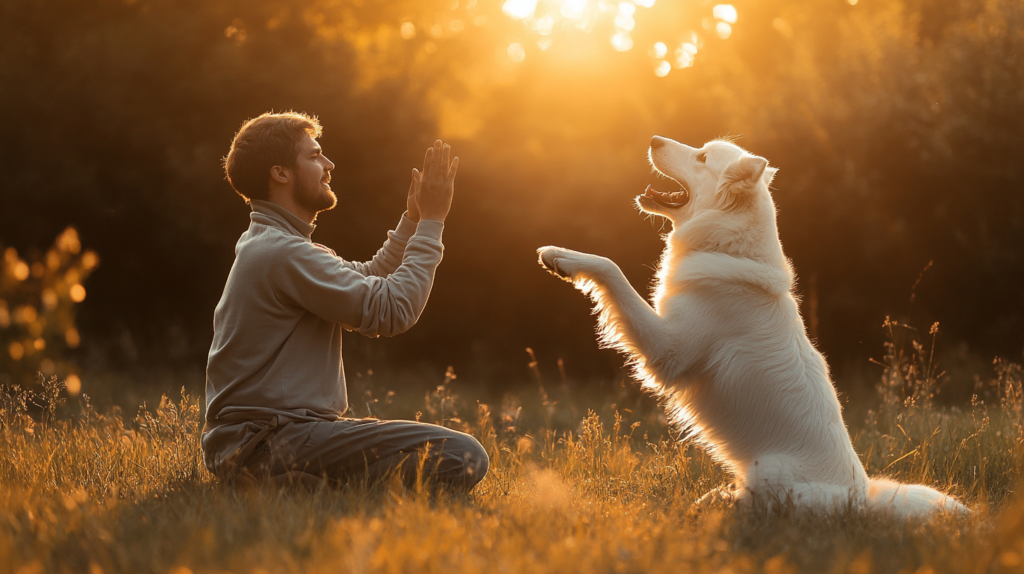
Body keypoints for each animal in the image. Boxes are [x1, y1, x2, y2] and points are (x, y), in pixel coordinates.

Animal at [536, 136, 966, 517]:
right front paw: (558, 252)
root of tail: (862, 498)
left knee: (760, 505)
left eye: (702, 157)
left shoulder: (669, 349)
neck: (728, 244)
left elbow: (612, 268)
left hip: (768, 469)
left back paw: (718, 505)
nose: (654, 139)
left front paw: (565, 260)